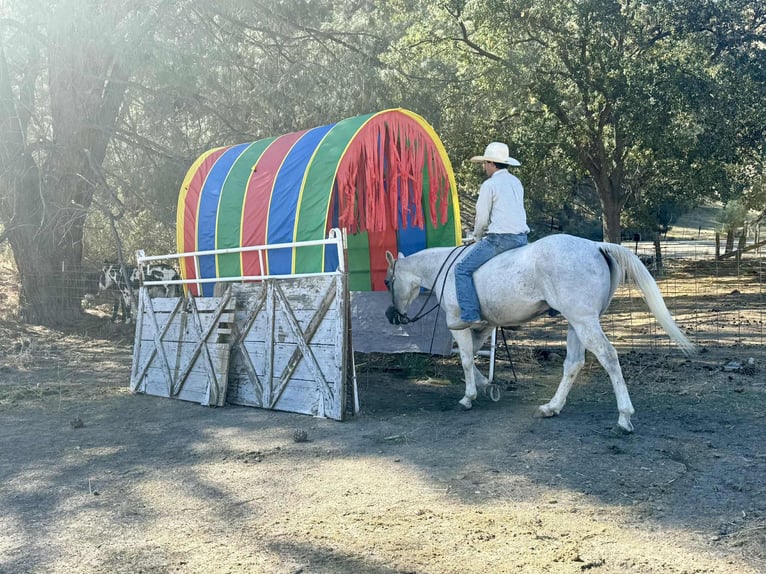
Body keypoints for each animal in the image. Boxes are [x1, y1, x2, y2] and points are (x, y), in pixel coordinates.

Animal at [384, 234, 696, 433]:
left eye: (388, 280)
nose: (392, 315)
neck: (446, 269)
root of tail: (596, 246)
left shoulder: (459, 324)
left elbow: (465, 360)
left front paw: (468, 397)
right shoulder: (484, 327)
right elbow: (472, 357)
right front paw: (487, 385)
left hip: (584, 321)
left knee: (608, 357)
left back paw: (624, 418)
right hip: (575, 323)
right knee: (573, 363)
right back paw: (551, 407)